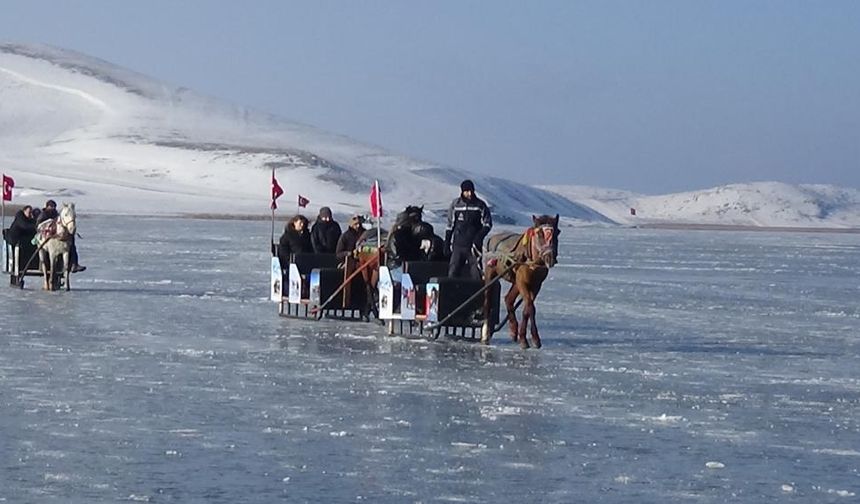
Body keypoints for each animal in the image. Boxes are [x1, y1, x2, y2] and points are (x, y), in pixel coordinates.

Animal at [480, 215, 560, 348]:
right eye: (539, 233)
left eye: (557, 232)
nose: (550, 257)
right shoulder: (522, 282)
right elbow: (530, 307)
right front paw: (533, 338)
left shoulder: (536, 285)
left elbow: (527, 309)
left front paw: (524, 337)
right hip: (490, 273)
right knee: (487, 301)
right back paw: (486, 334)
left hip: (515, 282)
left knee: (508, 299)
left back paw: (513, 330)